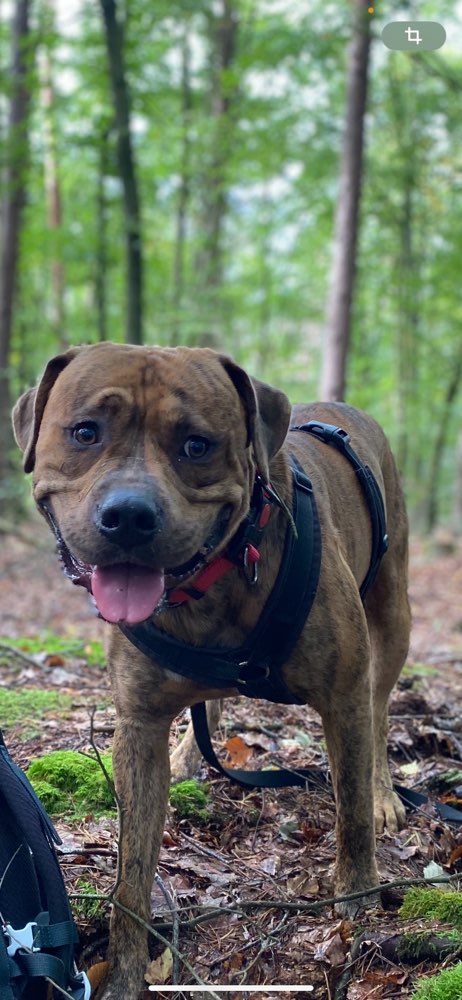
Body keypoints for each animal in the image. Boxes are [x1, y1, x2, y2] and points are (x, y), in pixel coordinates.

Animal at [13, 346, 412, 1000]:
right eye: (85, 433)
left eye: (196, 445)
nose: (128, 515)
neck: (210, 587)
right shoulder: (139, 729)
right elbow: (130, 878)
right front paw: (124, 973)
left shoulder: (343, 694)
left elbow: (350, 807)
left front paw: (357, 894)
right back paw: (189, 757)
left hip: (392, 614)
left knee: (380, 715)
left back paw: (384, 793)